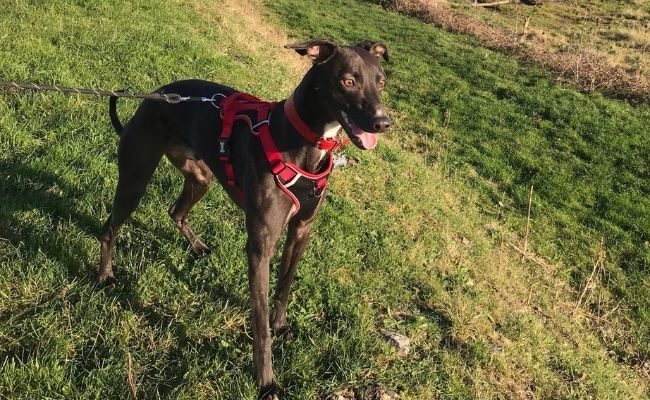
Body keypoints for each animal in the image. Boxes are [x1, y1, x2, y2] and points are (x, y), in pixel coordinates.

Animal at [97, 36, 390, 396]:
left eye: (381, 82)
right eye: (348, 81)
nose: (383, 123)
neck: (304, 145)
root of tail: (155, 96)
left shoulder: (301, 230)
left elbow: (285, 285)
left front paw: (281, 325)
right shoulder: (260, 248)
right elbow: (259, 322)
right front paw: (267, 381)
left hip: (201, 177)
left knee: (175, 211)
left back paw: (196, 246)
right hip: (135, 178)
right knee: (110, 228)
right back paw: (104, 276)